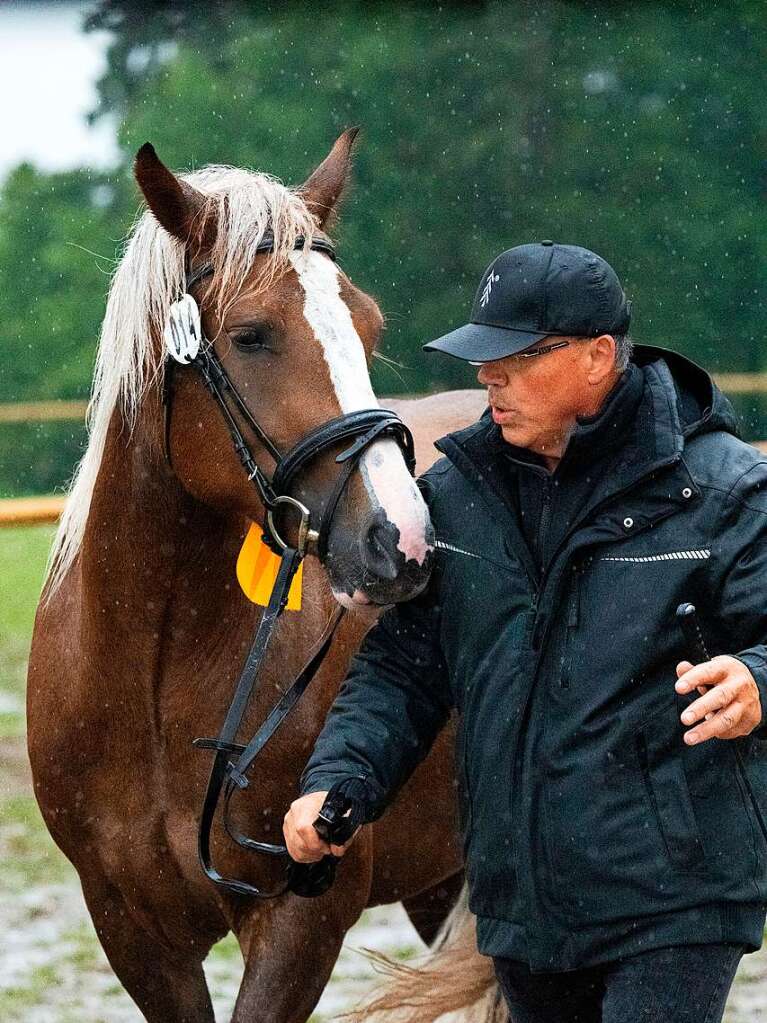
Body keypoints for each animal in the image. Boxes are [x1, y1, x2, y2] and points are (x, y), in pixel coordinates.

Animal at [30, 129, 488, 1023]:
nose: (404, 539)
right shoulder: (131, 929)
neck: (153, 675)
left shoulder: (300, 917)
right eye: (249, 335)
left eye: (367, 325)